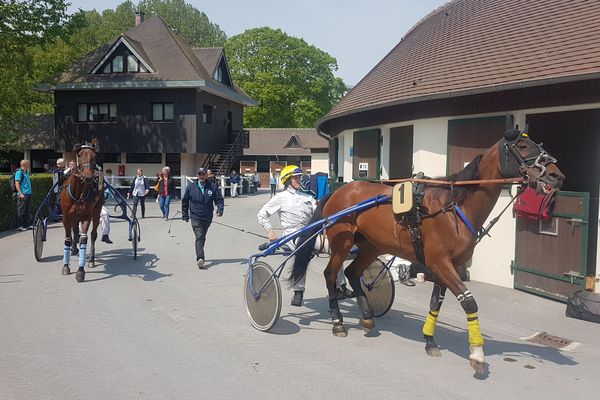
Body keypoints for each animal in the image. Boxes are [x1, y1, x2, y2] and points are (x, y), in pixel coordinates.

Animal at [59, 141, 103, 282]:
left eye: (94, 156)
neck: (77, 193)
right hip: (74, 217)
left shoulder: (86, 217)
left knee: (93, 235)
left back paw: (91, 260)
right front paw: (66, 266)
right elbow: (68, 239)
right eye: (79, 155)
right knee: (75, 232)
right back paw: (74, 249)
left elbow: (84, 239)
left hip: (97, 210)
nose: (89, 176)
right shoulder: (66, 218)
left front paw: (80, 271)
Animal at [290, 130, 564, 374]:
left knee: (352, 272)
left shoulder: (449, 265)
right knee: (331, 274)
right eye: (523, 146)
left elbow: (436, 303)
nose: (556, 175)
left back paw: (367, 317)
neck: (452, 206)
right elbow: (469, 302)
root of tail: (339, 191)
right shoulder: (441, 263)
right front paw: (477, 355)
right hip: (342, 243)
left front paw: (430, 341)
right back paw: (337, 322)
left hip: (372, 245)